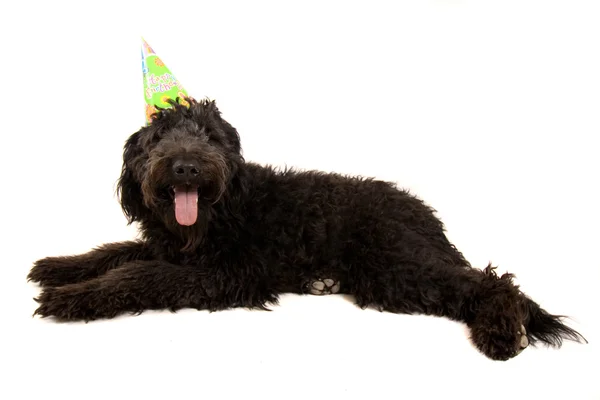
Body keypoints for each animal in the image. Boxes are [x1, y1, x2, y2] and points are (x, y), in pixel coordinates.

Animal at [29, 98, 584, 360]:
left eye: (209, 136)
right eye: (160, 137)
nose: (186, 167)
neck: (215, 217)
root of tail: (426, 214)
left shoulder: (225, 273)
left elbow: (138, 275)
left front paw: (72, 298)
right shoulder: (172, 250)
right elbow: (117, 251)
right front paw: (59, 266)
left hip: (397, 265)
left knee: (491, 281)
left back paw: (503, 330)